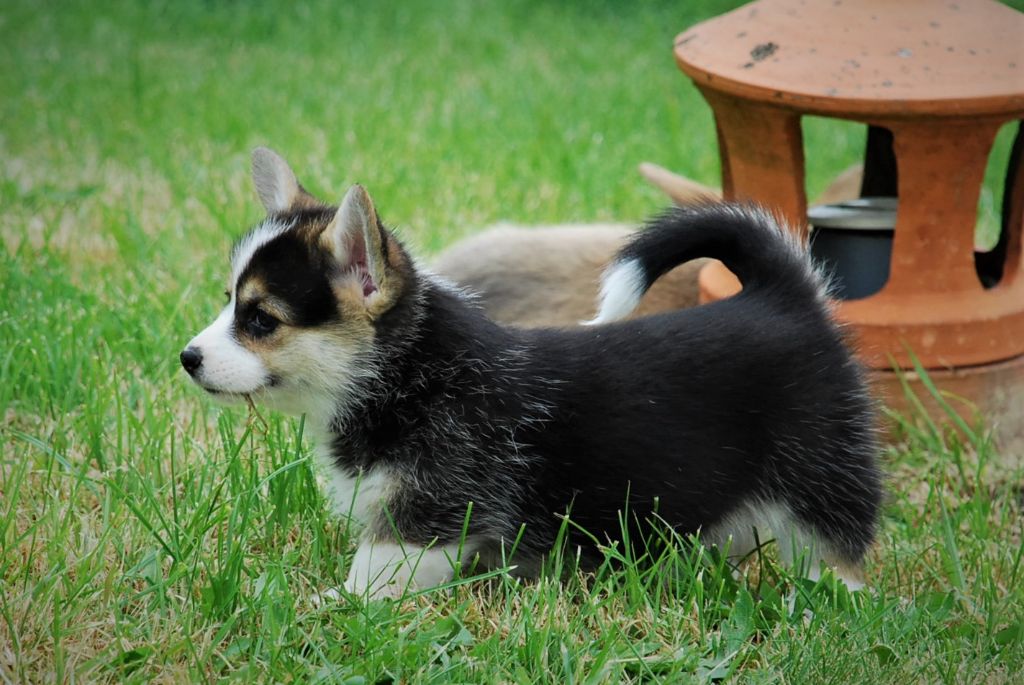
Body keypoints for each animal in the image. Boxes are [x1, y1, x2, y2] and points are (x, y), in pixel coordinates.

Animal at [181, 148, 881, 599]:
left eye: (261, 319)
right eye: (228, 300)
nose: (186, 359)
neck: (404, 373)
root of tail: (783, 296)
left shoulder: (427, 513)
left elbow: (373, 575)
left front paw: (328, 606)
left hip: (821, 475)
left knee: (839, 549)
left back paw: (831, 602)